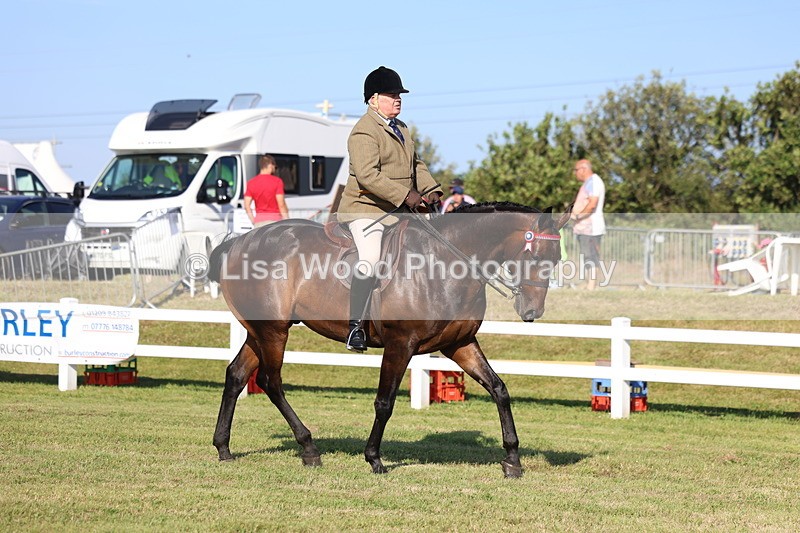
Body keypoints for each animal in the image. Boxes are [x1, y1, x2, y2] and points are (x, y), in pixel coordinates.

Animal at [209, 202, 571, 478]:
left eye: (556, 259)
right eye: (535, 257)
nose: (532, 311)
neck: (444, 263)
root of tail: (238, 243)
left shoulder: (460, 344)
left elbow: (499, 389)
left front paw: (512, 459)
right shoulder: (401, 344)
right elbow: (384, 402)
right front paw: (374, 458)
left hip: (260, 332)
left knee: (236, 375)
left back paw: (224, 447)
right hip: (273, 331)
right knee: (271, 382)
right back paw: (309, 447)